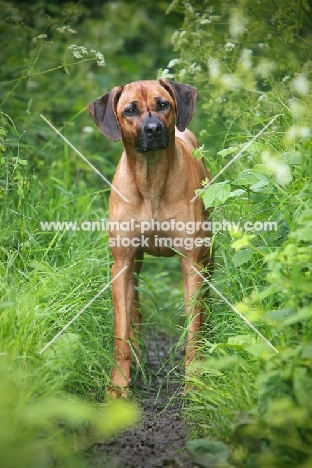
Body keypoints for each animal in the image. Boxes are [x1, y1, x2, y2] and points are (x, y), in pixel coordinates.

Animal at [89, 79, 213, 394]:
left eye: (163, 104)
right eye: (130, 110)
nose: (154, 129)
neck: (151, 178)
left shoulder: (192, 263)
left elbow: (194, 328)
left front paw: (194, 380)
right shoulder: (121, 262)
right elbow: (120, 332)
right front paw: (118, 387)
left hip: (208, 257)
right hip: (132, 266)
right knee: (134, 311)